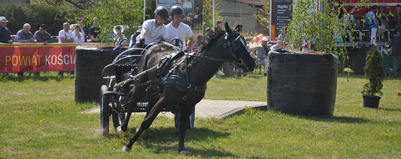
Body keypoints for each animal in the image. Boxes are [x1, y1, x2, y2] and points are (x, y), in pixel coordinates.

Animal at [119, 22, 256, 154]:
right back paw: (123, 127)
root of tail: (153, 46)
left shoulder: (189, 104)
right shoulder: (165, 99)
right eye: (236, 44)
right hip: (141, 82)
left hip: (156, 89)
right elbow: (147, 121)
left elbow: (183, 127)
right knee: (132, 103)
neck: (189, 71)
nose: (252, 63)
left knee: (150, 102)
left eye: (245, 42)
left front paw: (181, 148)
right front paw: (129, 144)